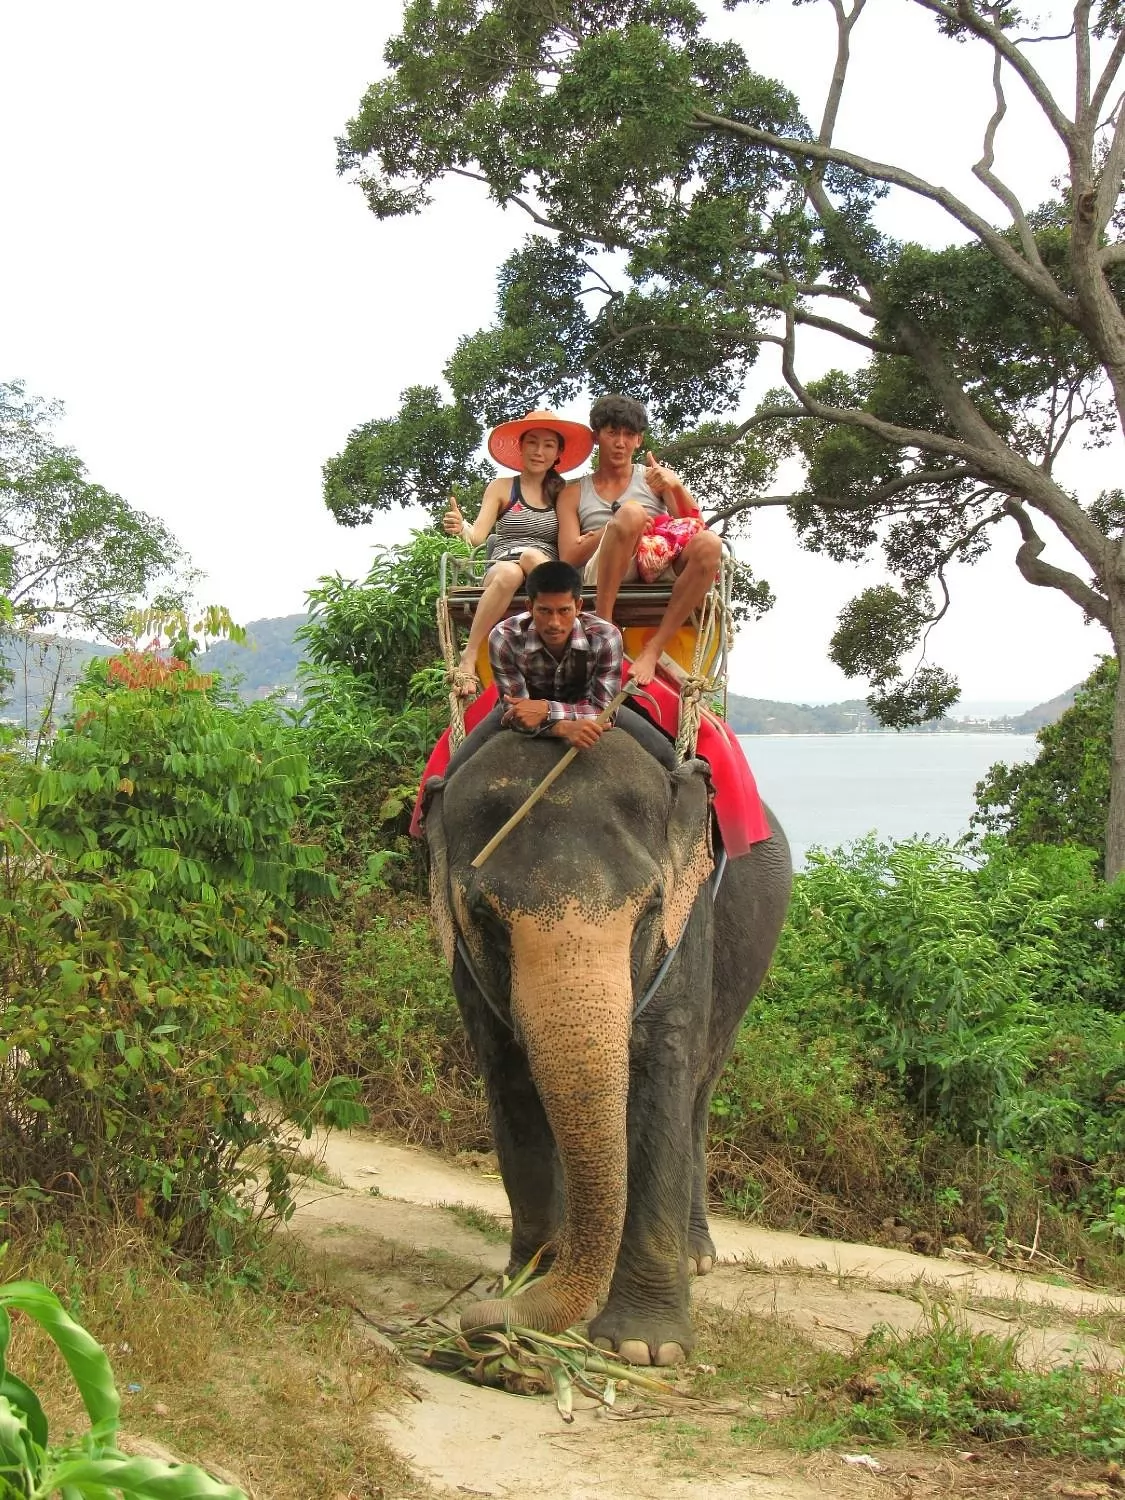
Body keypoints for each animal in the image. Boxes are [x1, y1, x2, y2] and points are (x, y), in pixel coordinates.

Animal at [422, 722, 792, 1365]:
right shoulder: (466, 964)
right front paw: (523, 1285)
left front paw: (645, 1348)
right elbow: (510, 1080)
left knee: (700, 1088)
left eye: (649, 910)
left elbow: (661, 1072)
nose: (479, 1324)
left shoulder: (686, 923)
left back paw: (696, 1257)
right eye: (485, 918)